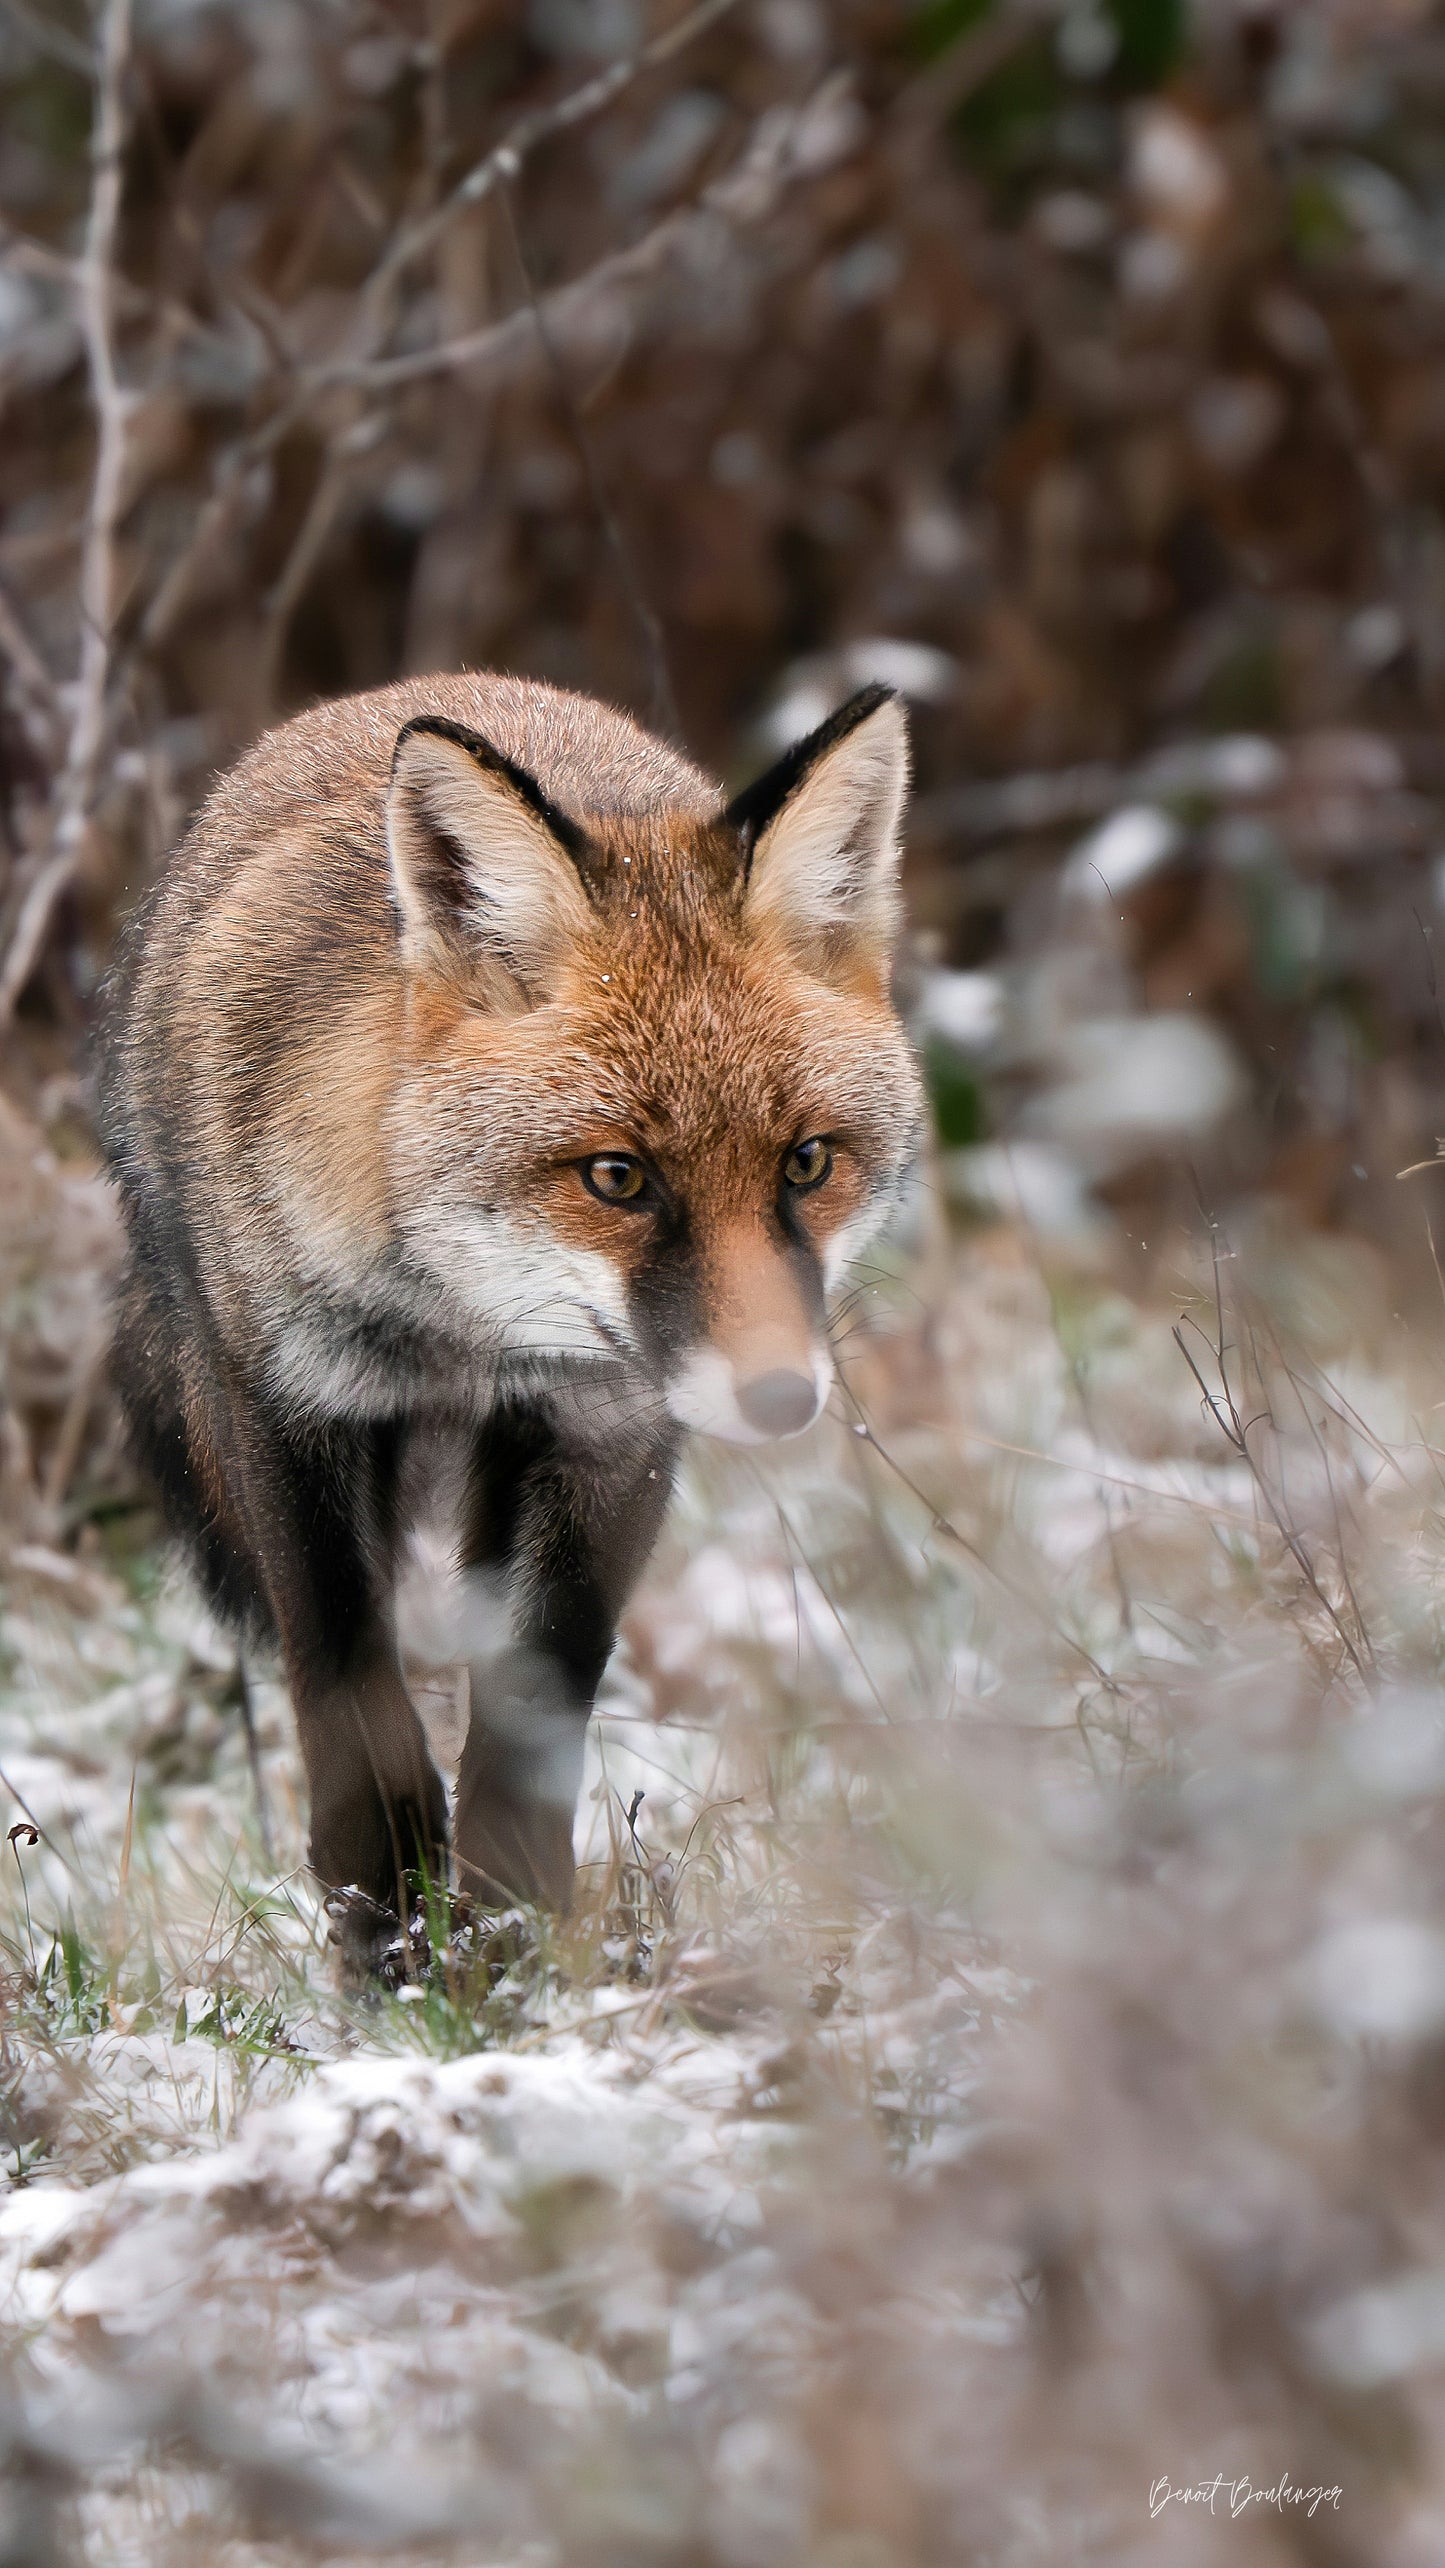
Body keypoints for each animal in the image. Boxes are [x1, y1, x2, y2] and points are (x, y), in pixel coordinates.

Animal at [98, 671, 923, 1966]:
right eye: (617, 1178)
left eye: (805, 1164)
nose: (780, 1396)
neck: (467, 1333)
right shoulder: (284, 1409)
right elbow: (351, 1700)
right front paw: (387, 1938)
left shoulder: (608, 1434)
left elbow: (533, 1714)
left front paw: (502, 1940)